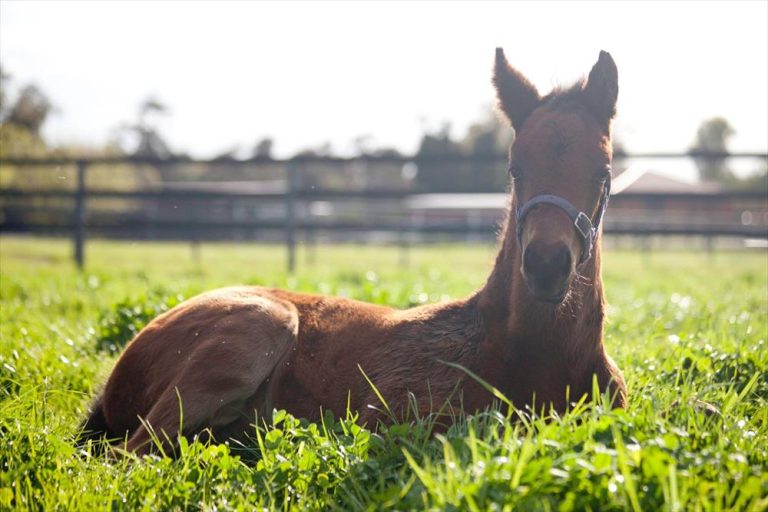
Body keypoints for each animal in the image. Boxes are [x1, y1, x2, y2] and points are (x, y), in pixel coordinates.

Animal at [78, 49, 627, 454]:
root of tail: (120, 370)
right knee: (129, 453)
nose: (547, 266)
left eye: (604, 174)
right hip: (257, 328)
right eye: (514, 169)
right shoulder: (393, 417)